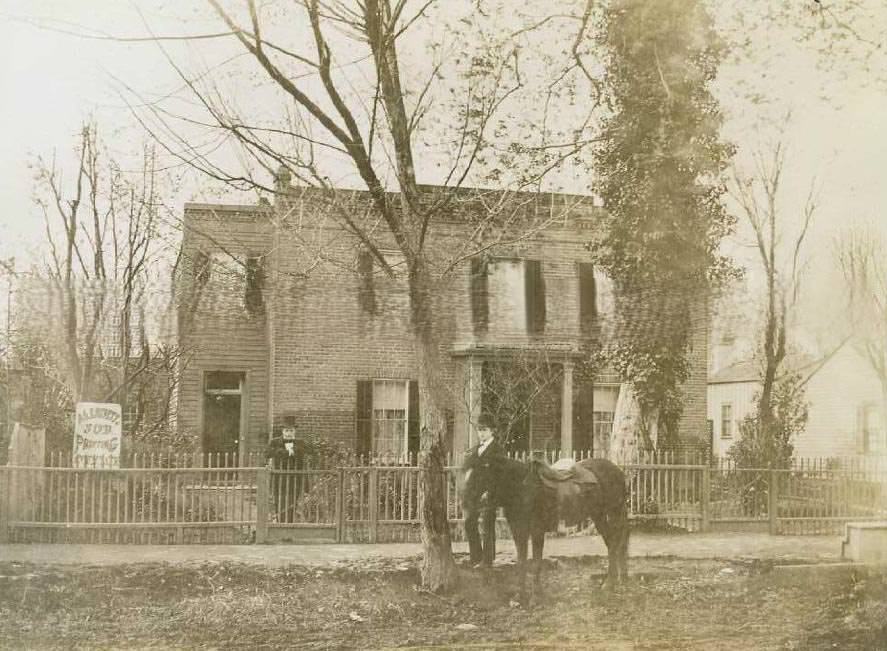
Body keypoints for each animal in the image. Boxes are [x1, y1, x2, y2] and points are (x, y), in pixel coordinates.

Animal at [464, 454, 632, 600]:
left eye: (478, 472)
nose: (466, 501)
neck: (522, 489)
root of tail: (618, 471)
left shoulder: (537, 531)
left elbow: (536, 563)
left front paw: (536, 596)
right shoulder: (519, 531)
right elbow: (521, 562)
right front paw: (520, 595)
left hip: (614, 512)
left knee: (615, 544)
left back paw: (611, 583)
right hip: (599, 516)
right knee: (613, 544)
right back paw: (617, 580)